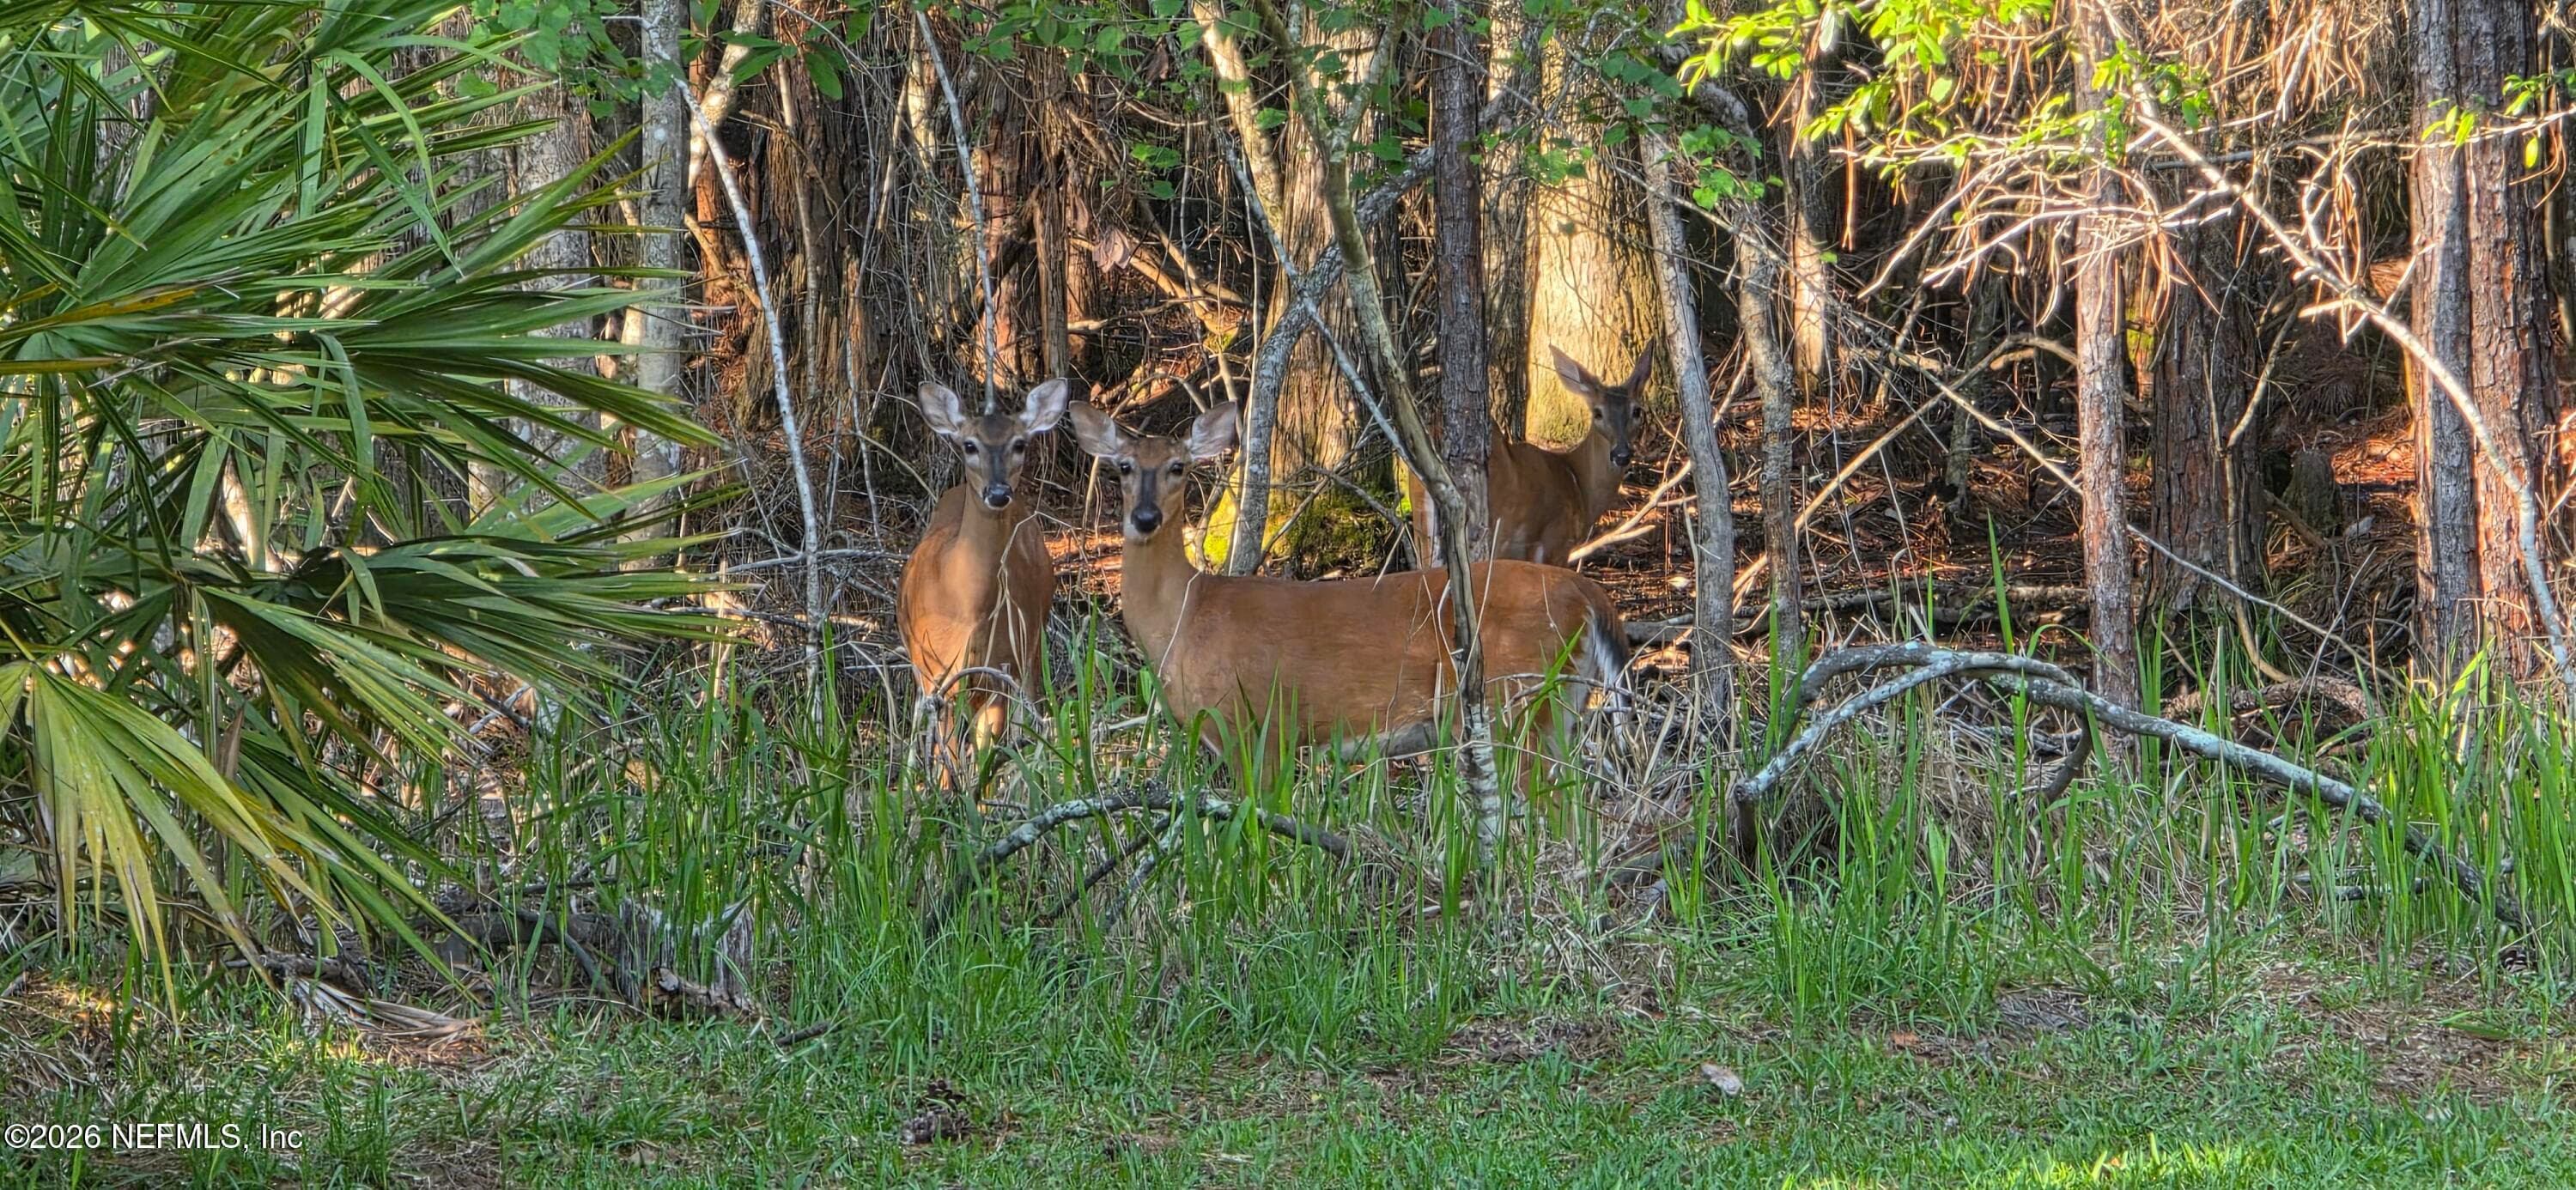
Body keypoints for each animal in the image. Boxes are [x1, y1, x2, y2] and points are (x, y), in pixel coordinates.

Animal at [898, 378, 1069, 788]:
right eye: (970, 445)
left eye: (1019, 443)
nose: (998, 492)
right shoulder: (937, 675)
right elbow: (948, 757)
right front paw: (943, 799)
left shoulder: (999, 672)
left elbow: (984, 756)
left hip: (1031, 643)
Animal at [1070, 400, 1630, 800]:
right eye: (1123, 466)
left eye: (1178, 467)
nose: (1144, 518)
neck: (1186, 618)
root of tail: (1591, 596)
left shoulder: (1260, 724)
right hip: (1559, 707)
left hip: (1514, 700)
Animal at [1405, 345, 1649, 568]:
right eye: (1598, 413)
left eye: (1637, 411)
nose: (1621, 453)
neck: (1577, 483)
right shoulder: (1556, 541)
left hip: (1422, 521)